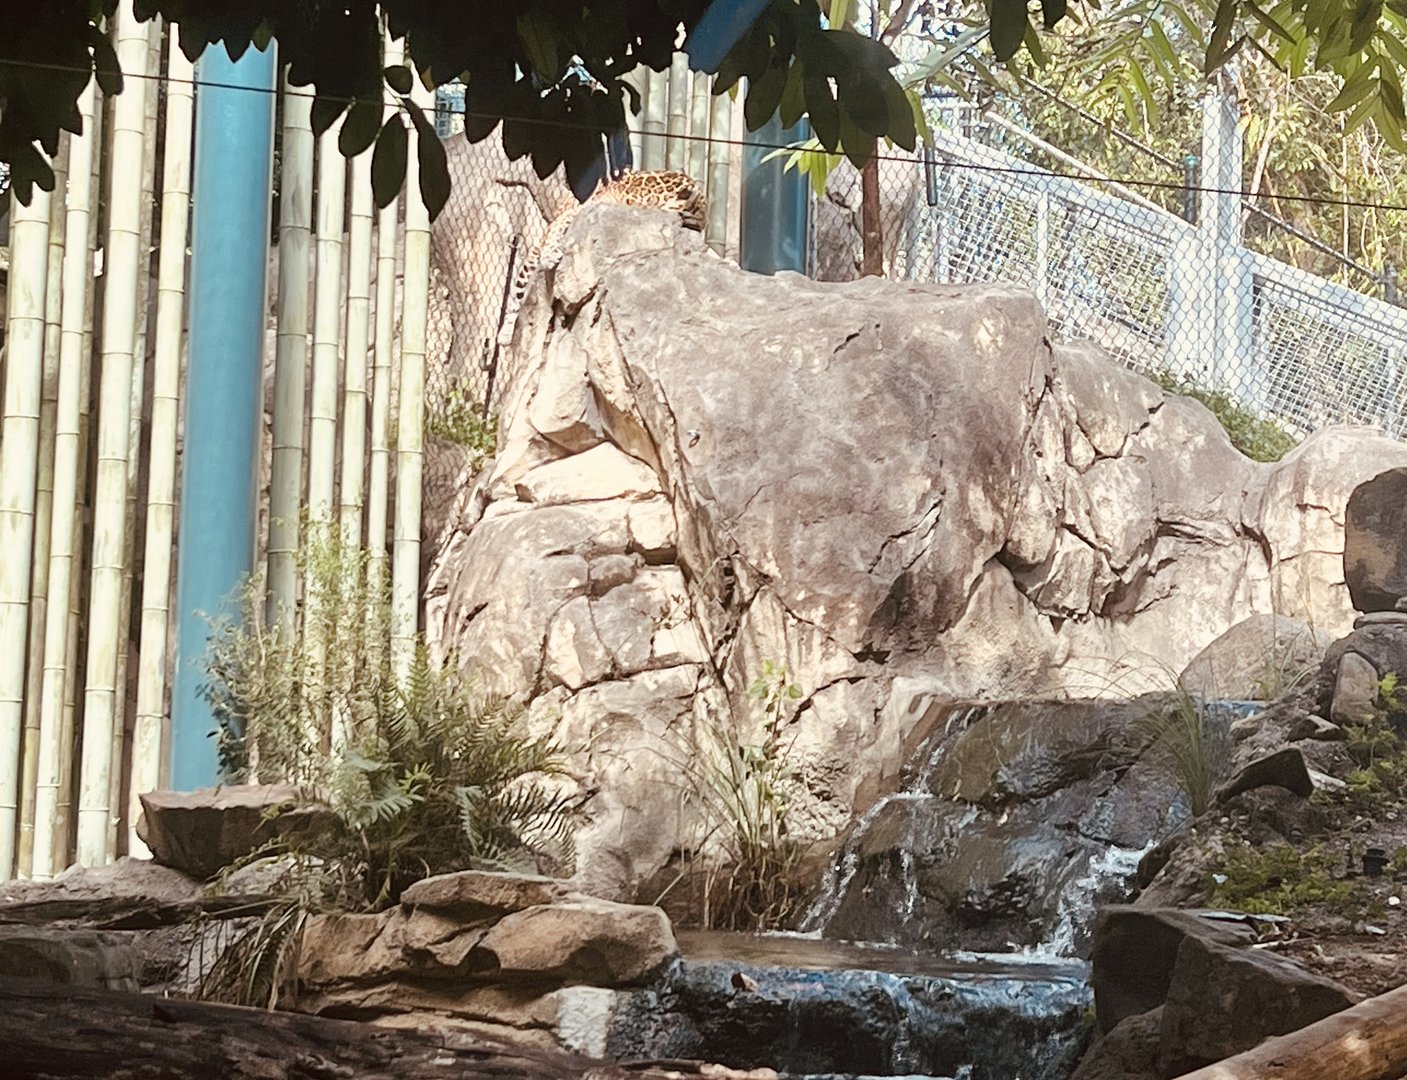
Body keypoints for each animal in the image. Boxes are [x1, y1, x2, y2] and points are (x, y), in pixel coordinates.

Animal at [494, 168, 706, 351]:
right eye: (696, 215)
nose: (702, 230)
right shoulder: (585, 206)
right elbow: (563, 222)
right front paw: (550, 255)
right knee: (517, 293)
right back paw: (504, 334)